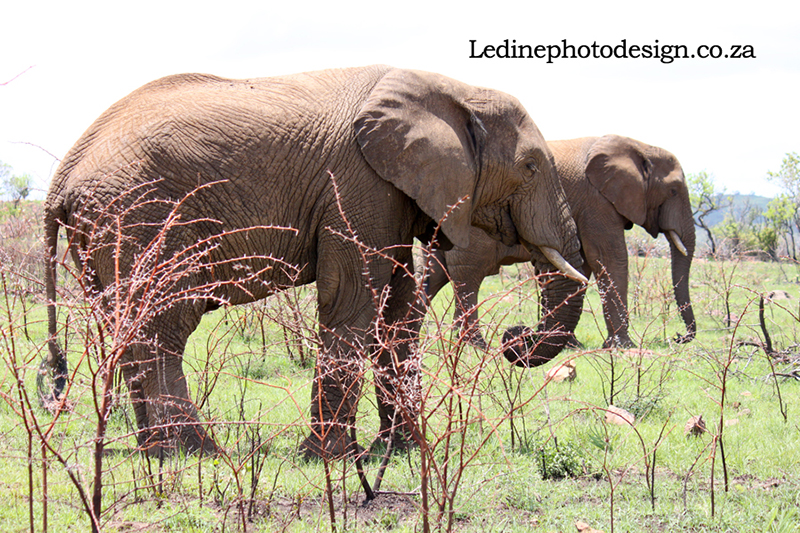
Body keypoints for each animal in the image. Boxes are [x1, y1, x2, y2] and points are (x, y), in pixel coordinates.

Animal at [43, 65, 585, 457]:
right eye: (530, 167)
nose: (514, 339)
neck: (455, 90)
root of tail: (63, 174)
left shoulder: (391, 193)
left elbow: (399, 309)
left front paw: (403, 451)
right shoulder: (358, 183)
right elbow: (354, 301)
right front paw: (333, 458)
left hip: (103, 232)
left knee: (126, 329)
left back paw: (153, 451)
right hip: (142, 218)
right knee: (162, 325)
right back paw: (197, 452)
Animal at [423, 134, 696, 365]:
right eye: (673, 191)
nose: (678, 336)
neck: (640, 146)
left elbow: (582, 266)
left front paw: (573, 345)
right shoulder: (597, 202)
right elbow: (610, 258)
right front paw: (622, 346)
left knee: (433, 273)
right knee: (469, 275)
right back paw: (475, 346)